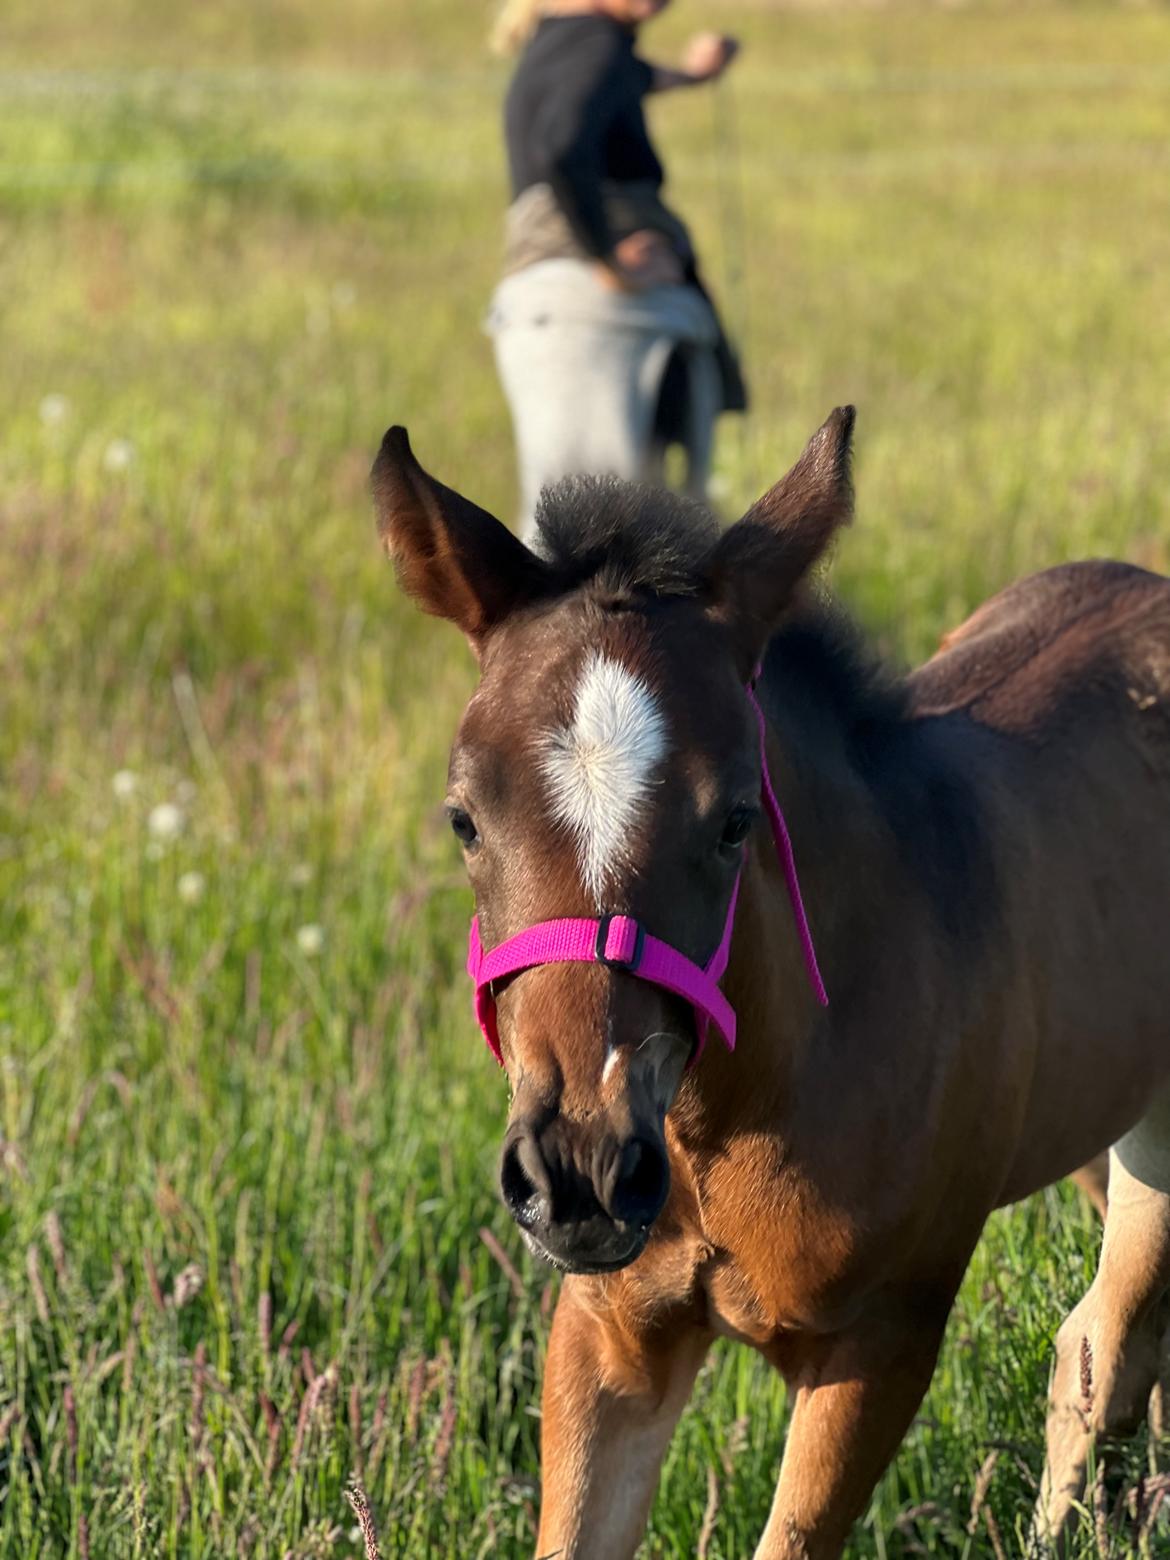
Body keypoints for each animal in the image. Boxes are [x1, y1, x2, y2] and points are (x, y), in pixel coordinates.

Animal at [371, 407, 1170, 1557]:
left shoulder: (882, 1340)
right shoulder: (609, 1331)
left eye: (735, 820)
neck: (730, 1116)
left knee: (1107, 1345)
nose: (581, 1174)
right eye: (463, 818)